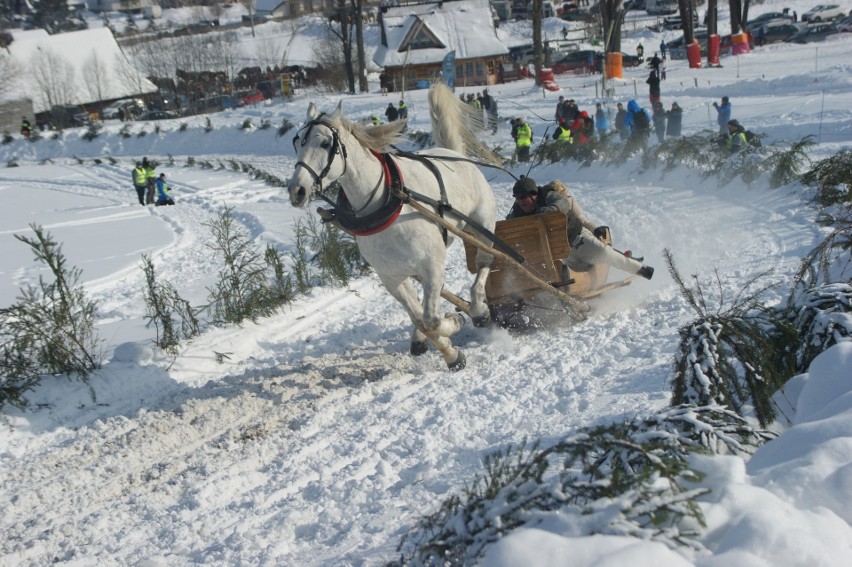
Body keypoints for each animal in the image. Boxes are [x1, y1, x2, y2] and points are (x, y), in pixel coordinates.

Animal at [288, 82, 500, 370]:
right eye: (297, 141)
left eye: (324, 143)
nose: (296, 190)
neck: (386, 203)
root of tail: (454, 154)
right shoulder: (390, 276)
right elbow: (419, 317)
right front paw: (448, 350)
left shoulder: (432, 264)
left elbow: (432, 318)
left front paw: (455, 324)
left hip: (482, 226)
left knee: (484, 264)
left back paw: (478, 309)